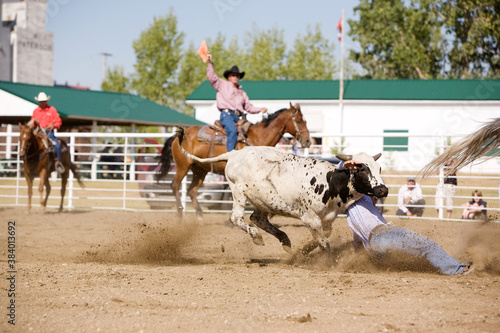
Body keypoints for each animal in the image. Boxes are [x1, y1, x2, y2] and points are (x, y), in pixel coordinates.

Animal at [157, 104, 312, 218]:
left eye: (305, 120)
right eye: (298, 121)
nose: (308, 141)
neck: (256, 138)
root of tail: (178, 135)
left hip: (199, 169)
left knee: (192, 191)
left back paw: (200, 217)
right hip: (183, 166)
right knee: (175, 186)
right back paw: (179, 213)